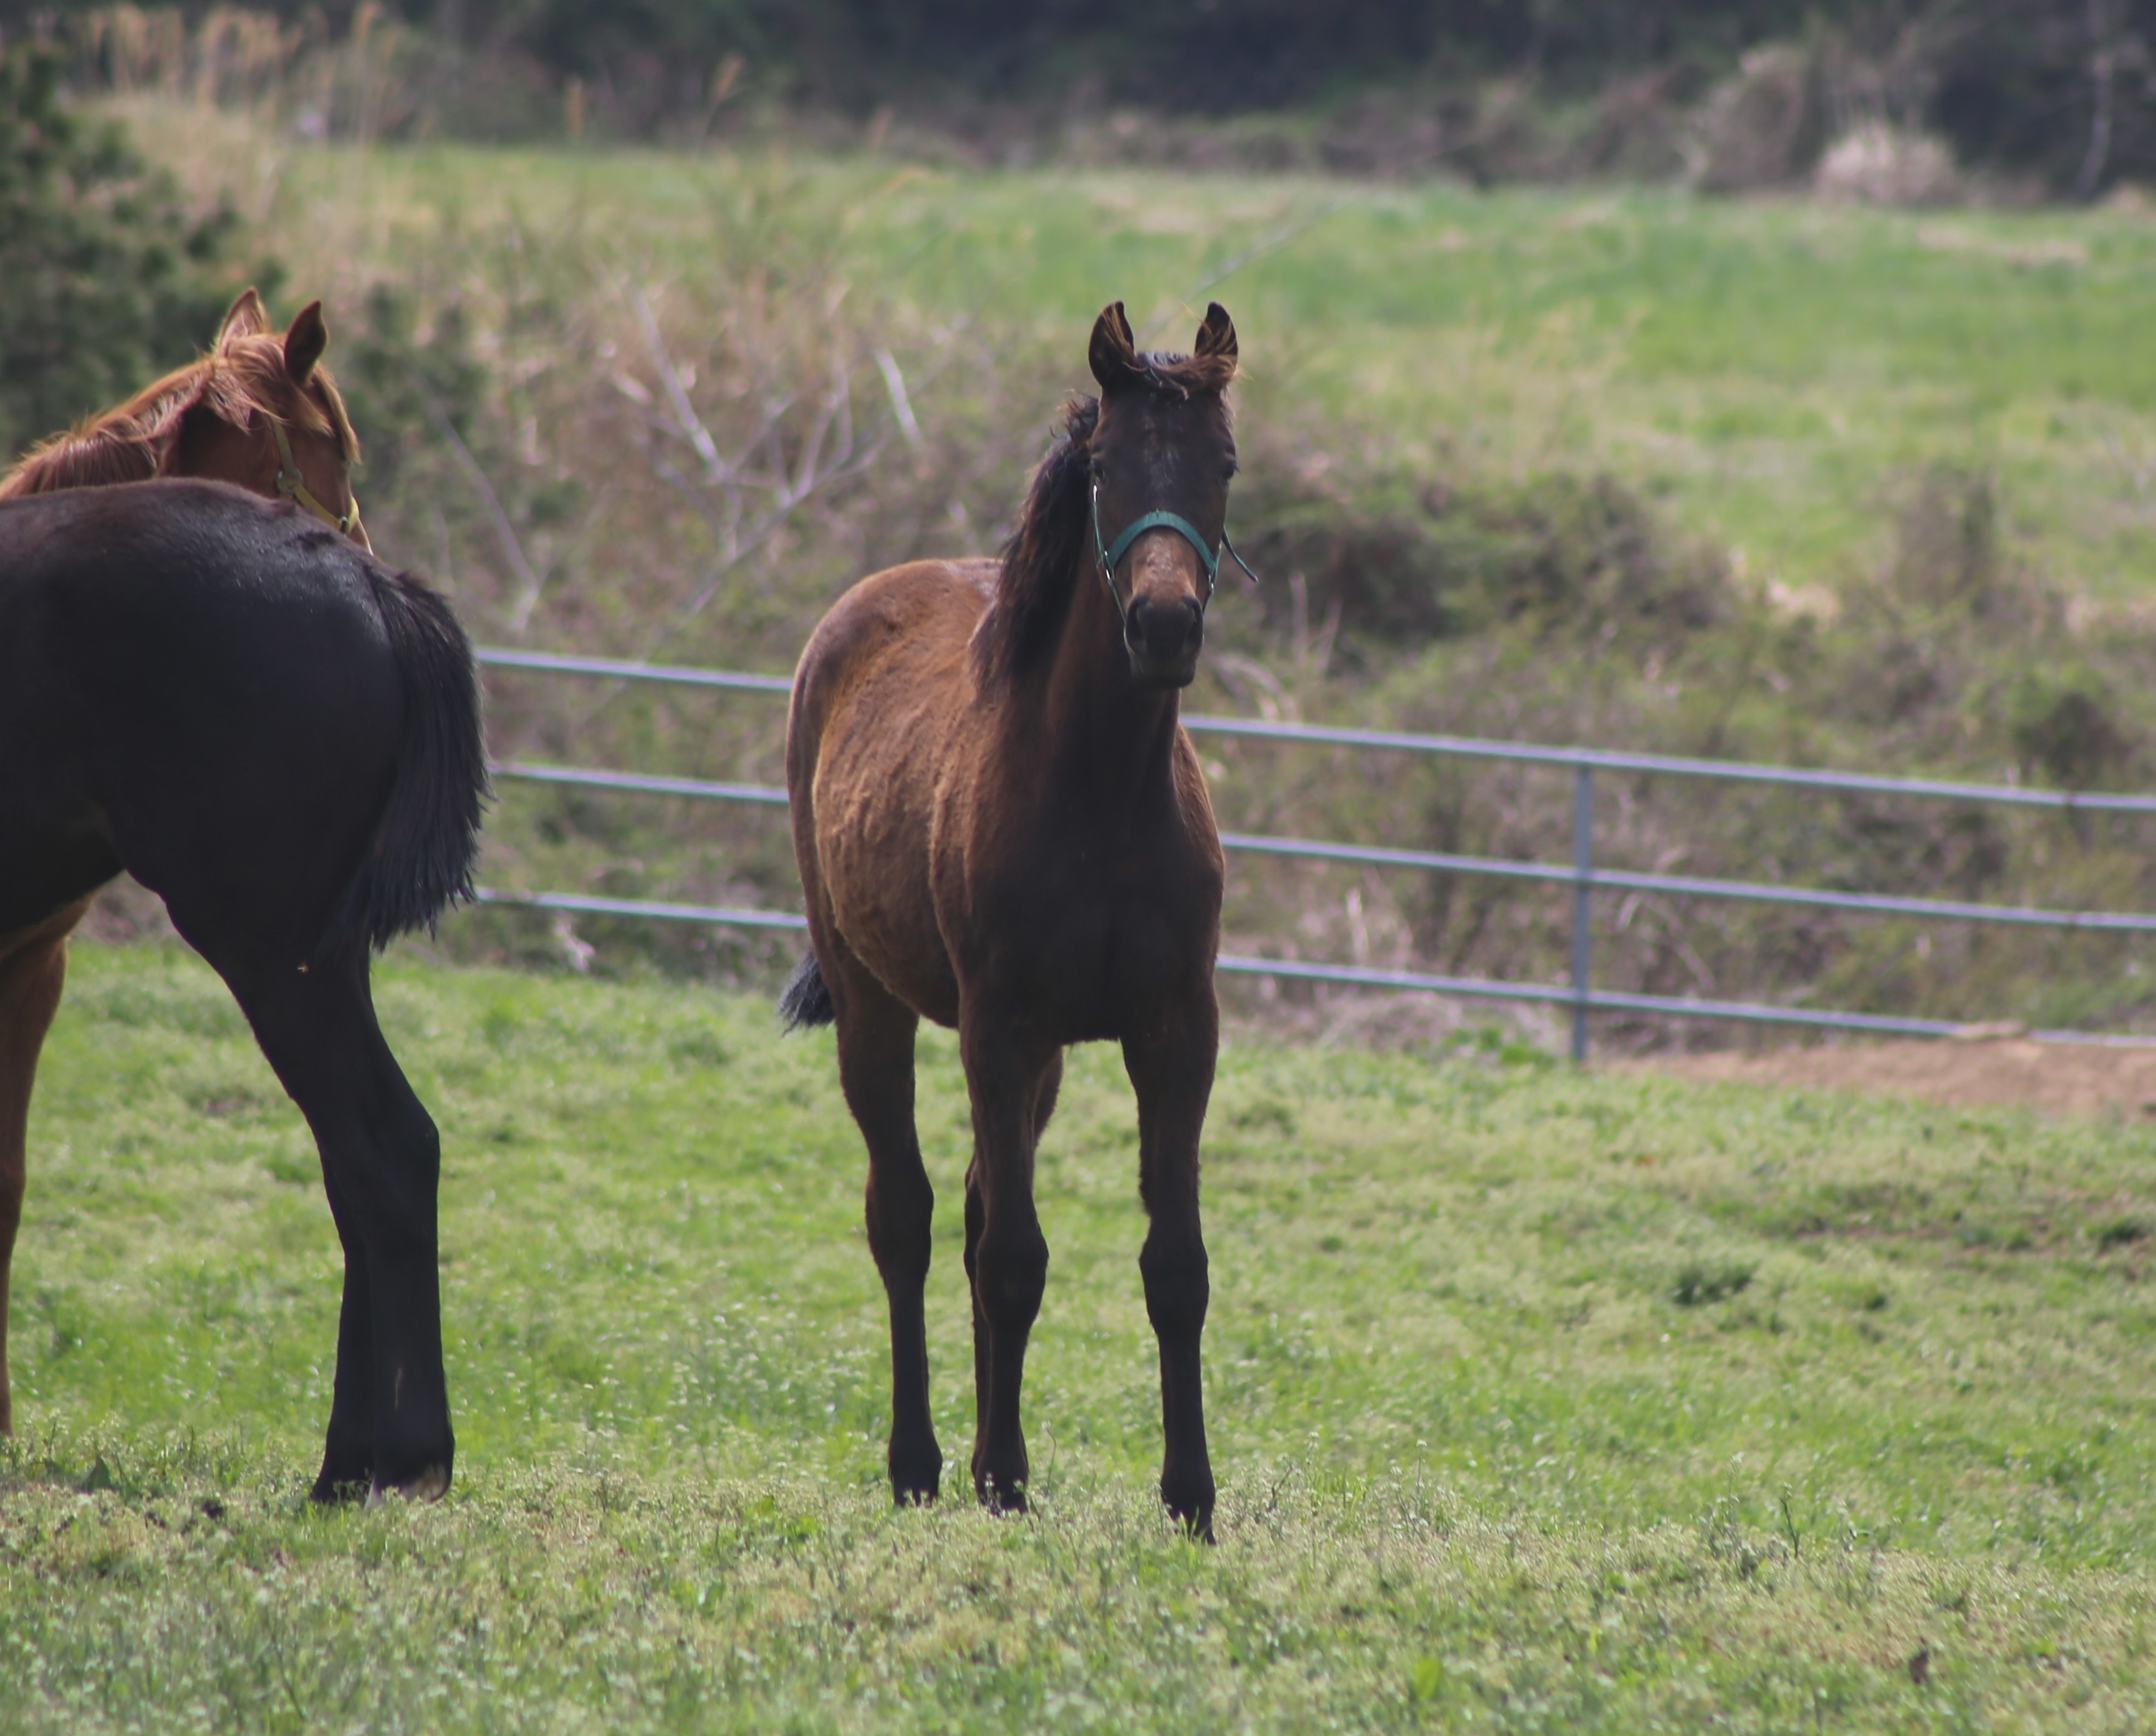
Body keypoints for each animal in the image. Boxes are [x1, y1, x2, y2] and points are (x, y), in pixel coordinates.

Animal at [784, 304, 1241, 1535]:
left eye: (1223, 464)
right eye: (1103, 467)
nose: (1164, 626)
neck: (1099, 792)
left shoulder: (1172, 1032)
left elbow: (1173, 1265)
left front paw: (1189, 1497)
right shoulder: (997, 1025)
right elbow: (1011, 1260)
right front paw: (996, 1476)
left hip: (1041, 1060)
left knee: (977, 1206)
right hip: (876, 1006)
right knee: (906, 1217)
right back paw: (923, 1462)